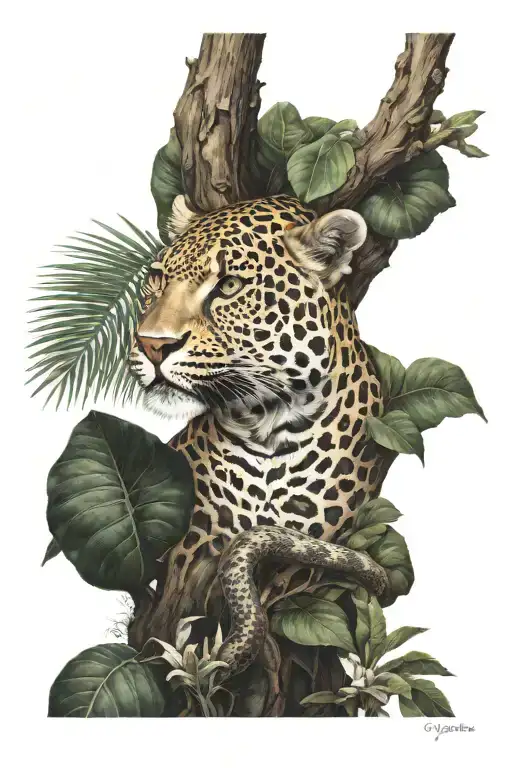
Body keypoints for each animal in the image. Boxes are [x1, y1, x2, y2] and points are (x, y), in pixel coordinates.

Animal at [129, 193, 388, 677]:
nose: (151, 345)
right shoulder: (192, 541)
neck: (267, 425)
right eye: (157, 279)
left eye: (229, 286)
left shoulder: (317, 536)